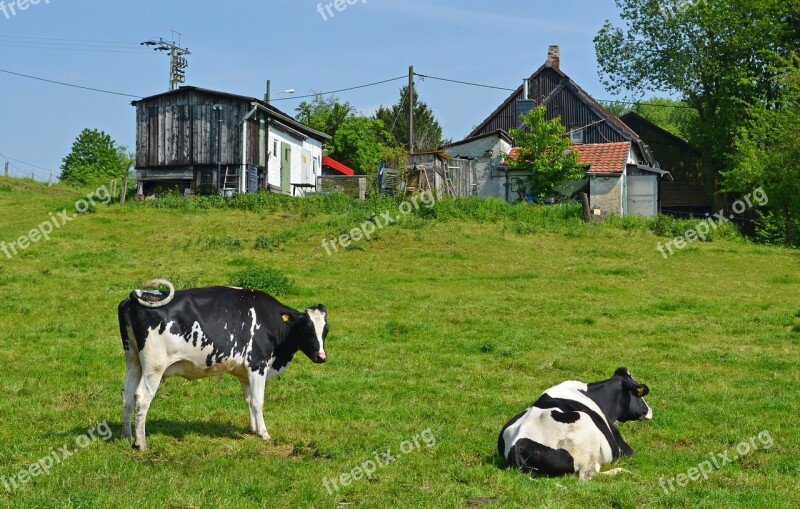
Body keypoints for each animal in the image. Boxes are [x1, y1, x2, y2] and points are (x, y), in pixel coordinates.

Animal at [116, 278, 328, 448]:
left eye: (326, 331)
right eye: (307, 329)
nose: (321, 356)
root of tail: (135, 299)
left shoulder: (245, 372)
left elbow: (249, 400)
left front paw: (253, 430)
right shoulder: (257, 365)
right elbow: (258, 401)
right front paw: (264, 433)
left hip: (133, 359)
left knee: (127, 394)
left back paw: (127, 436)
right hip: (154, 366)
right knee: (142, 397)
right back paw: (140, 443)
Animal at [496, 366, 652, 480]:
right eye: (639, 395)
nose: (649, 410)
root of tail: (517, 445)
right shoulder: (622, 446)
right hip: (585, 427)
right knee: (587, 475)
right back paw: (623, 472)